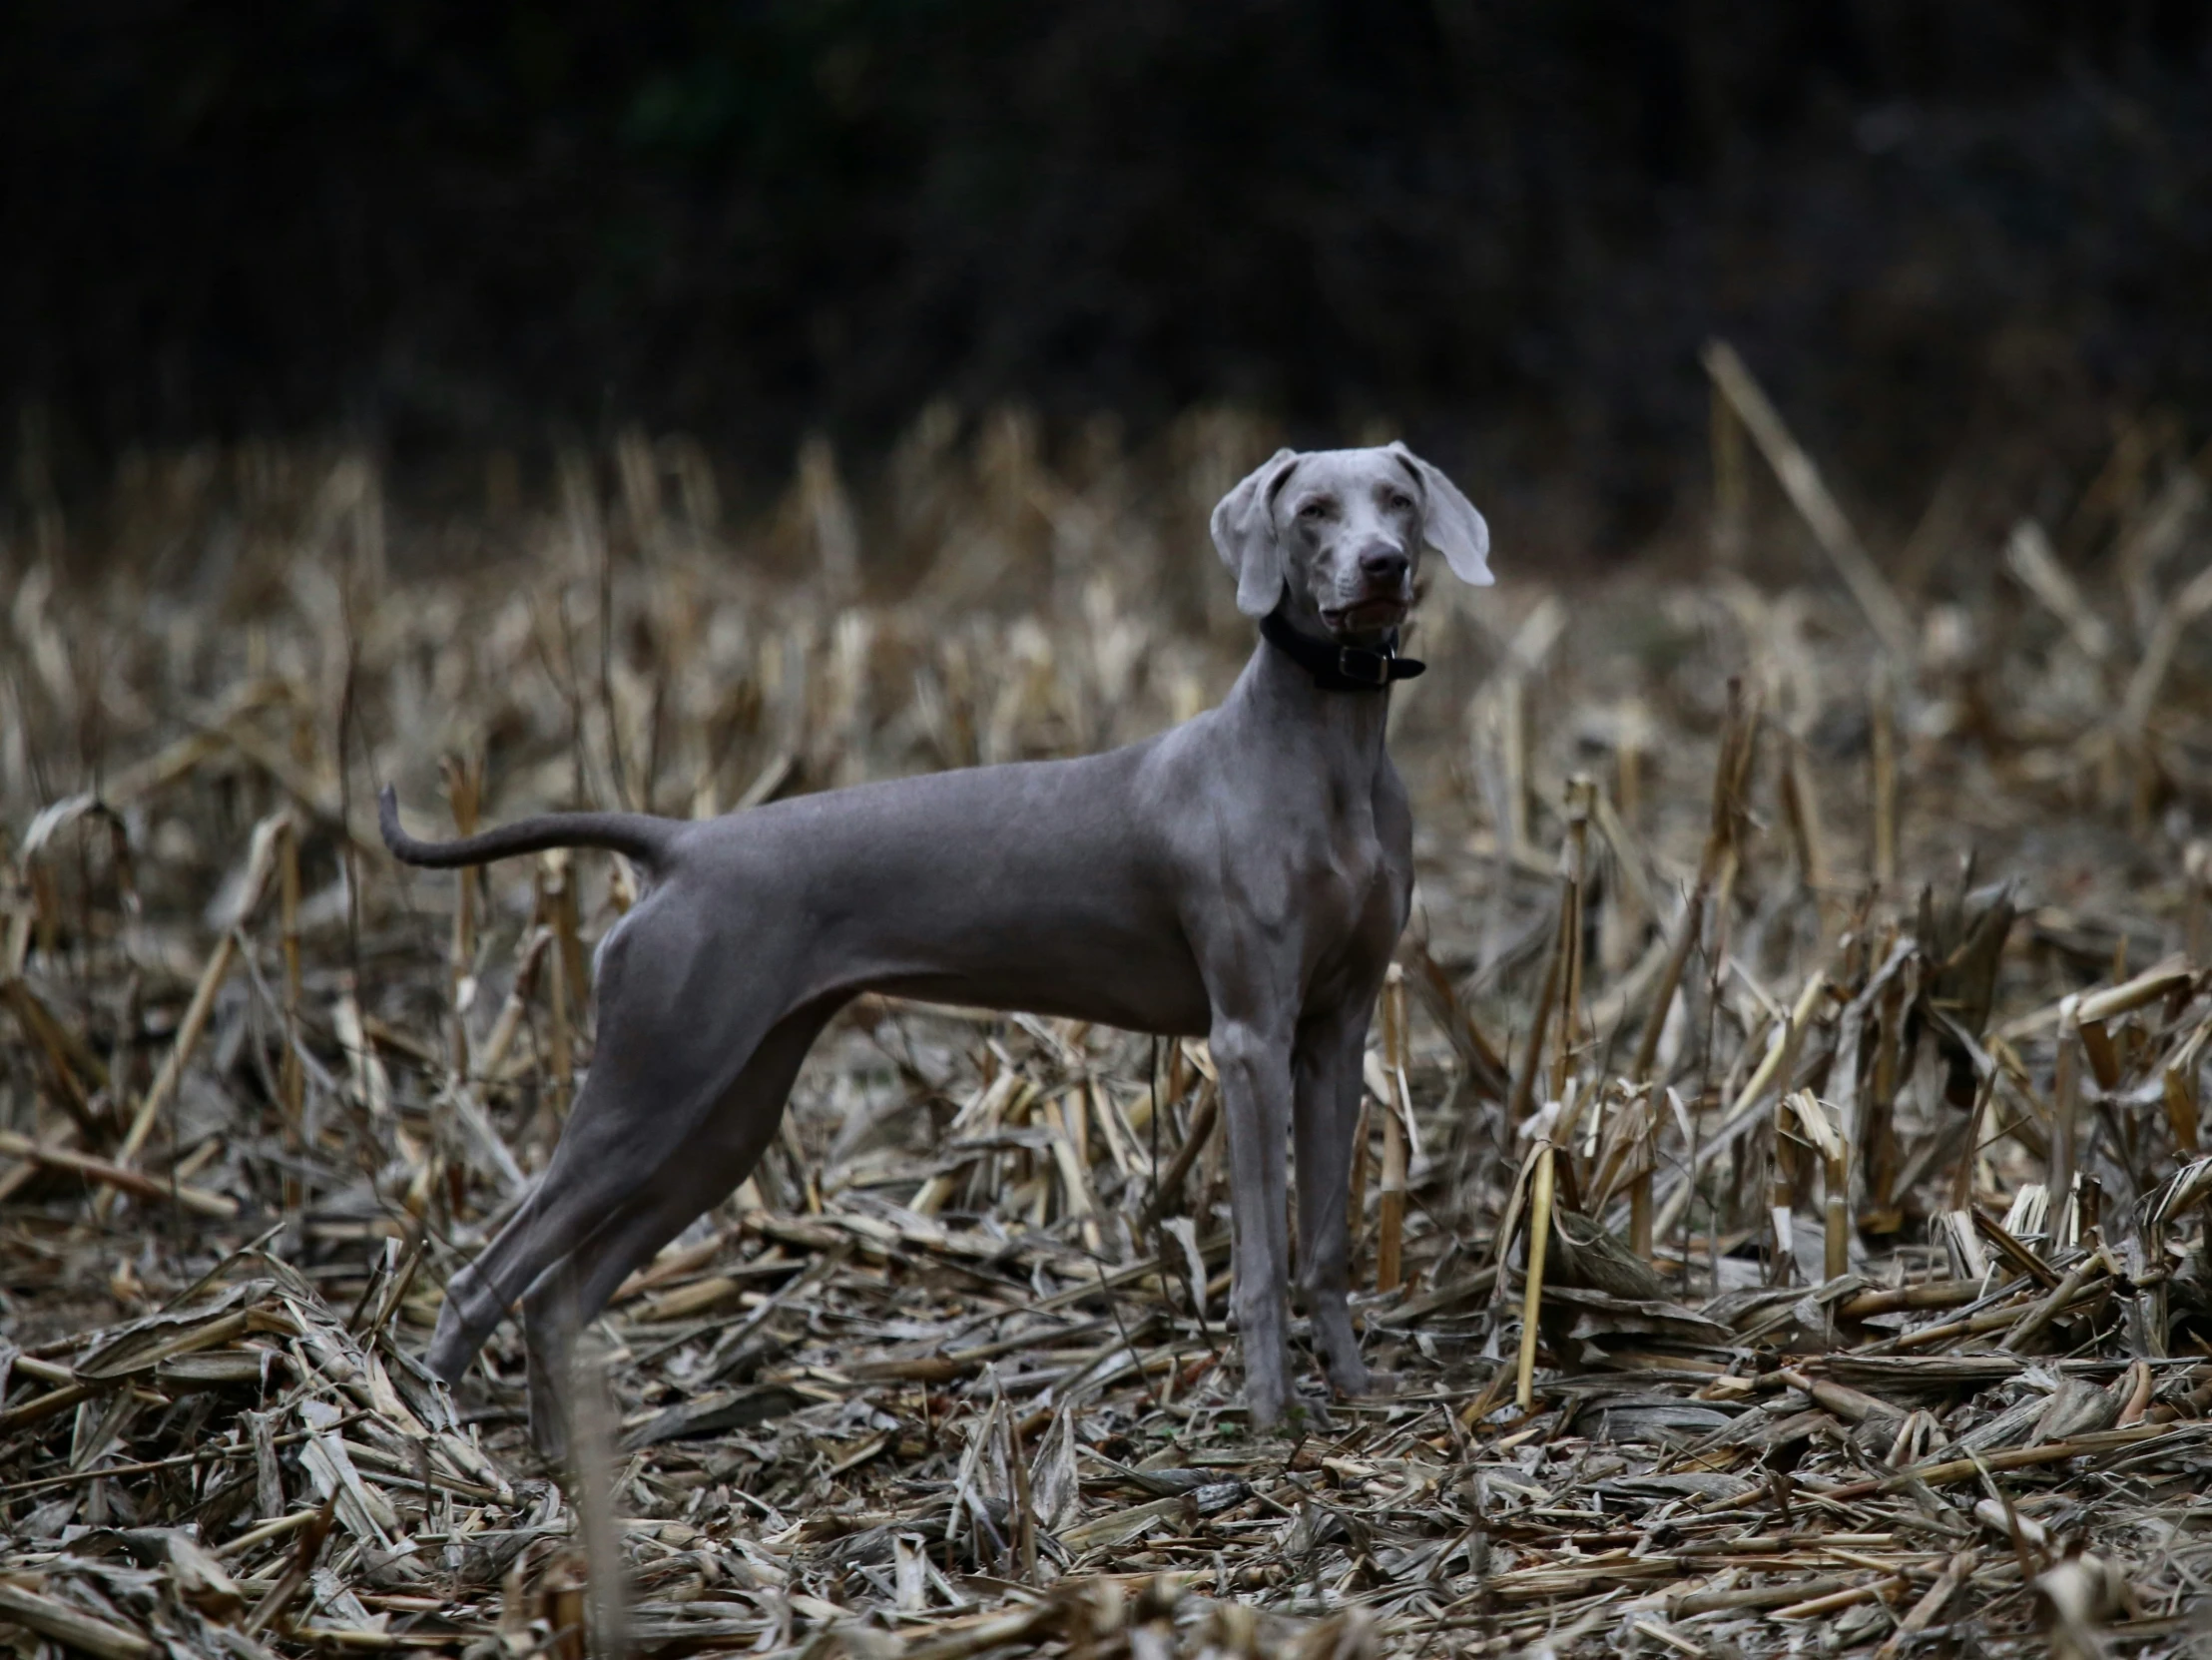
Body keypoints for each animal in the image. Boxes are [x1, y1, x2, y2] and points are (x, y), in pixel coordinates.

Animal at [380, 442, 1495, 1442]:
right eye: (1311, 510)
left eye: (1397, 499)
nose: (1380, 566)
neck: (1327, 751)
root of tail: (683, 843)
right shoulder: (1249, 1036)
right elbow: (1261, 1254)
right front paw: (1269, 1416)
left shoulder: (1336, 1032)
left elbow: (1326, 1239)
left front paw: (1354, 1389)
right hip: (650, 1086)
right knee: (485, 1277)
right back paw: (440, 1448)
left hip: (725, 1119)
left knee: (556, 1294)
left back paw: (565, 1468)